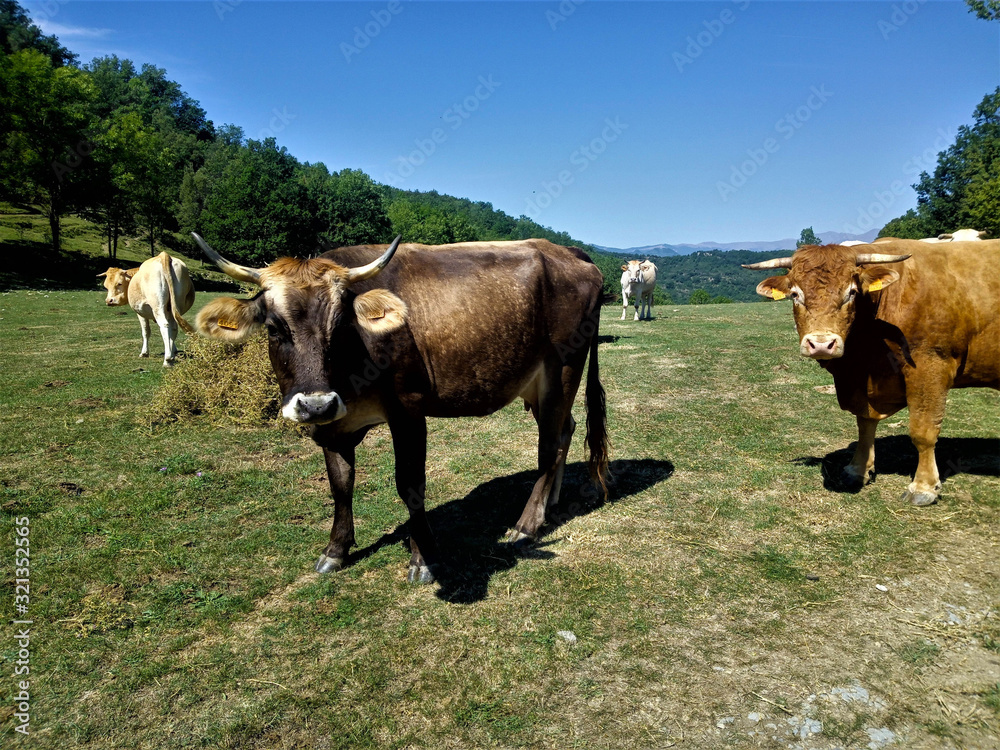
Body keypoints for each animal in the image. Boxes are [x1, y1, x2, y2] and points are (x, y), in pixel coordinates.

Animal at [192, 233, 610, 583]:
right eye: (274, 328)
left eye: (341, 326)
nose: (315, 403)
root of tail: (565, 250)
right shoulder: (333, 424)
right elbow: (340, 483)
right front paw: (336, 549)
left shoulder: (408, 412)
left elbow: (410, 485)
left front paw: (423, 558)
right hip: (538, 385)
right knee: (566, 430)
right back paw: (549, 504)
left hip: (564, 369)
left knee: (549, 447)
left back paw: (526, 524)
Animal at [743, 240, 999, 506]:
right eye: (795, 294)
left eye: (852, 293)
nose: (822, 344)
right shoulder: (863, 382)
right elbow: (864, 423)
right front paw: (858, 468)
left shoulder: (931, 366)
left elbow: (923, 430)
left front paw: (924, 486)